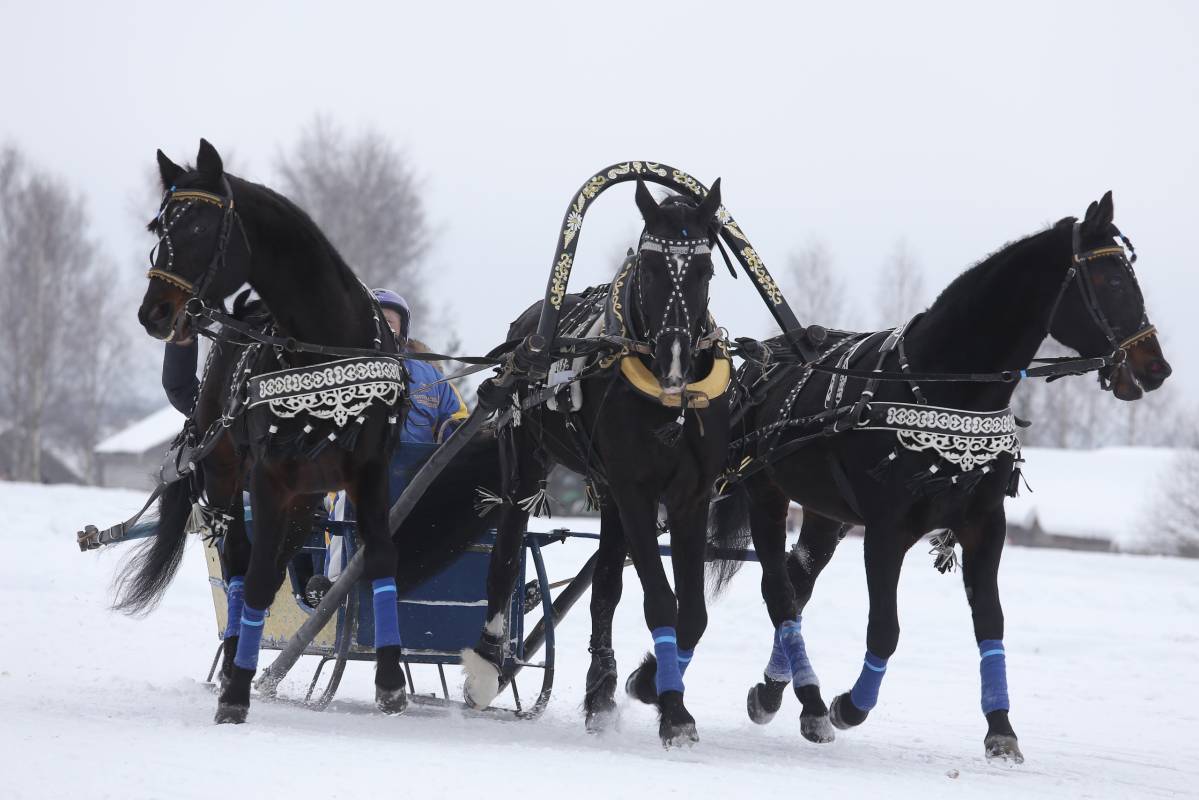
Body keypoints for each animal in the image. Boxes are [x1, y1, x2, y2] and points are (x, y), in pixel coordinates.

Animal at [119, 139, 414, 724]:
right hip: (225, 478)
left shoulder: (369, 471)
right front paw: (235, 692)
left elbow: (379, 557)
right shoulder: (269, 476)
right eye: (158, 226)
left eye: (200, 227)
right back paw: (236, 657)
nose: (154, 313)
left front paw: (391, 682)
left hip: (306, 499)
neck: (325, 348)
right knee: (238, 564)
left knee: (275, 565)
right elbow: (252, 577)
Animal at [450, 179, 724, 743]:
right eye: (650, 267)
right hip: (525, 464)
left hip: (610, 494)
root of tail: (530, 327)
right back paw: (488, 667)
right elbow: (660, 600)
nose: (676, 360)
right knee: (505, 552)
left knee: (605, 590)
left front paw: (651, 688)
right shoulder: (636, 491)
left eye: (705, 270)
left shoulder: (689, 496)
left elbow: (690, 613)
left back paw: (600, 689)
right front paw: (674, 712)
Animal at [709, 190, 1170, 767]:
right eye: (1110, 281)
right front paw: (849, 706)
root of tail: (758, 362)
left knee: (797, 582)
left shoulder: (984, 525)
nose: (1156, 368)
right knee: (777, 588)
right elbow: (885, 629)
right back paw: (794, 699)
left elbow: (990, 623)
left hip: (823, 514)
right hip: (765, 493)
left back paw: (773, 692)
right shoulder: (886, 532)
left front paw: (1001, 730)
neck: (941, 384)